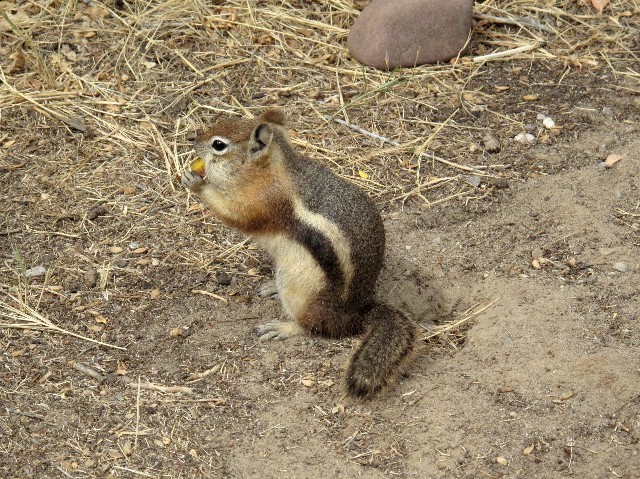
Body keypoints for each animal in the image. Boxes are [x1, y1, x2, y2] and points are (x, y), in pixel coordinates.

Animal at [181, 110, 420, 400]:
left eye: (218, 145)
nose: (194, 142)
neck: (269, 170)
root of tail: (355, 316)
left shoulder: (261, 202)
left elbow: (235, 214)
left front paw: (196, 184)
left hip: (300, 291)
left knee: (315, 328)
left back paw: (283, 328)